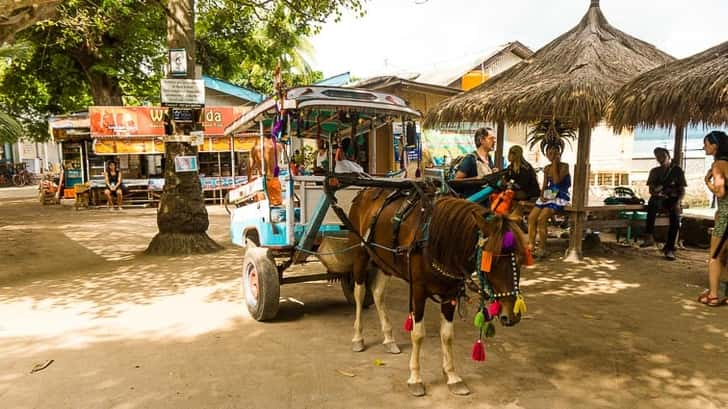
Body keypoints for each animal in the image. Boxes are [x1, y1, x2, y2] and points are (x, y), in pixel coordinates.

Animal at [348, 189, 528, 396]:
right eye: (492, 260)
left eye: (520, 258)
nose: (512, 315)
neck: (437, 242)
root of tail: (365, 191)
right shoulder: (418, 290)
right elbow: (418, 334)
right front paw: (415, 378)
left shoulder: (450, 293)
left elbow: (447, 335)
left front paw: (452, 376)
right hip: (360, 252)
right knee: (360, 293)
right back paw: (358, 338)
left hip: (385, 261)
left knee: (377, 293)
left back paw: (388, 339)